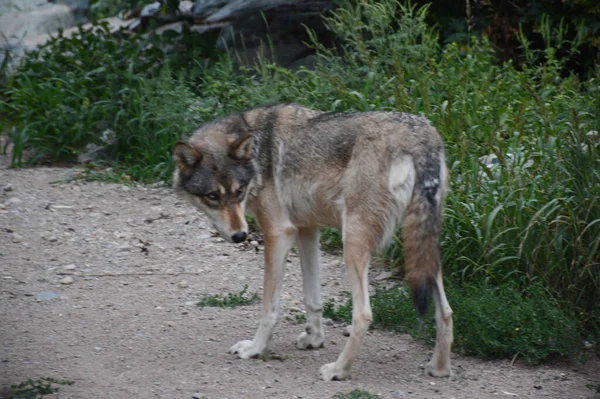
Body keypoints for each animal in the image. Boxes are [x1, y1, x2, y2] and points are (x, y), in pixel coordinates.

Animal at [173, 104, 454, 382]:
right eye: (213, 196)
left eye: (239, 192)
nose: (240, 236)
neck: (257, 154)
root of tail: (420, 136)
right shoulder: (307, 230)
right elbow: (313, 298)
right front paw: (315, 339)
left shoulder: (279, 233)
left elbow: (269, 308)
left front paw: (255, 348)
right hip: (424, 249)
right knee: (446, 311)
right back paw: (439, 368)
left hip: (352, 243)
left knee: (363, 315)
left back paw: (338, 370)